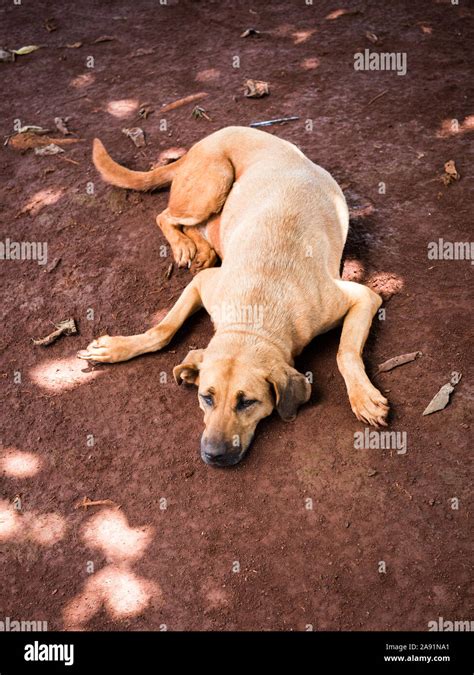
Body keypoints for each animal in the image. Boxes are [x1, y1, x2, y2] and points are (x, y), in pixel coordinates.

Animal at [78, 125, 388, 464]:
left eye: (247, 402)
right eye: (206, 397)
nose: (214, 455)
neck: (256, 310)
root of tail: (207, 139)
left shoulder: (364, 298)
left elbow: (345, 353)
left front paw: (363, 397)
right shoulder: (203, 284)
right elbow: (163, 329)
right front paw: (119, 347)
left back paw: (200, 249)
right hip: (212, 186)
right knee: (165, 215)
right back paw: (185, 246)